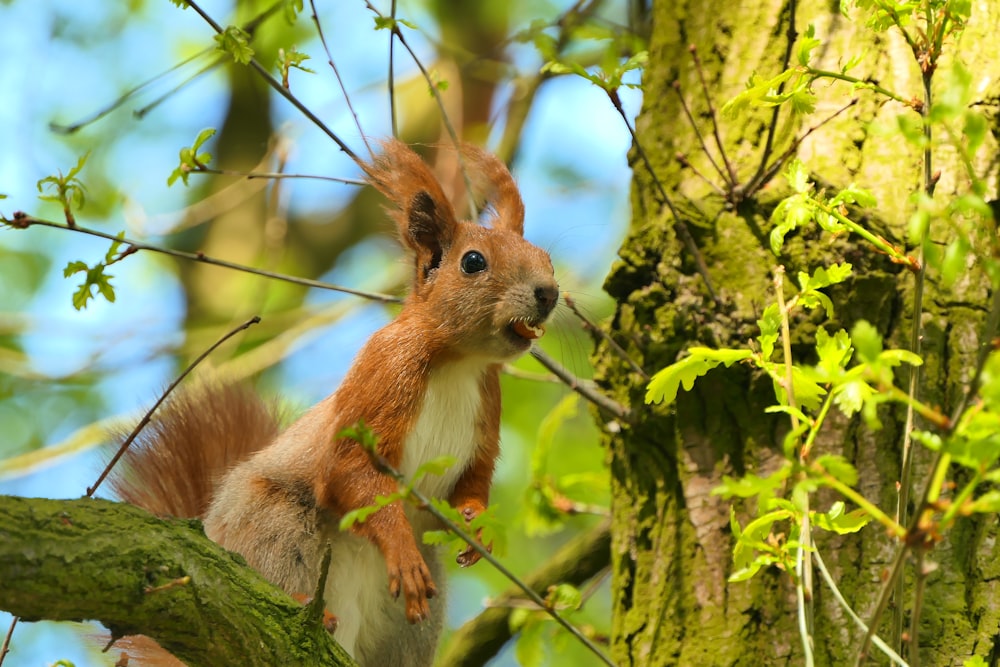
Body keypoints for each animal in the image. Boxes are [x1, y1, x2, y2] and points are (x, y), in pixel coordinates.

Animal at [112, 138, 564, 664]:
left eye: (544, 256)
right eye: (473, 263)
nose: (548, 293)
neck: (458, 362)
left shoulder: (486, 405)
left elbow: (473, 479)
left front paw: (478, 523)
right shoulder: (382, 374)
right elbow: (346, 470)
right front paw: (400, 547)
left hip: (410, 623)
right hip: (273, 526)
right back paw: (306, 605)